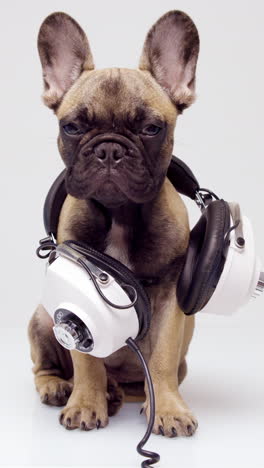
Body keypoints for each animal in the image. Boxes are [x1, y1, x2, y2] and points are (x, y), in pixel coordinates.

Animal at [27, 10, 200, 438]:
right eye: (71, 127)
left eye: (151, 129)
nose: (108, 149)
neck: (120, 212)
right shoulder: (77, 294)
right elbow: (87, 360)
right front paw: (86, 403)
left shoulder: (170, 298)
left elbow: (161, 358)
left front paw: (168, 409)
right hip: (41, 318)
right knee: (49, 366)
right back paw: (66, 388)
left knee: (144, 379)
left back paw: (125, 395)